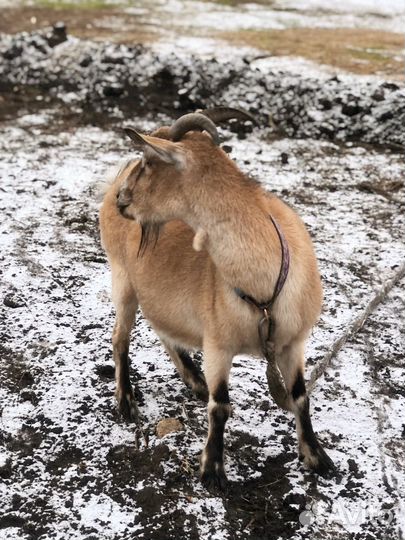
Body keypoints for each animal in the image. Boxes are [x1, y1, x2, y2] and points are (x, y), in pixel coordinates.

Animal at [98, 108, 334, 490]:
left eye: (147, 162)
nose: (122, 197)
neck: (263, 285)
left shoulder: (293, 341)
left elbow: (300, 396)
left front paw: (317, 457)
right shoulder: (218, 344)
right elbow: (220, 405)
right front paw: (212, 470)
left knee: (162, 329)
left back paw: (194, 380)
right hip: (123, 279)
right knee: (120, 337)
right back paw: (126, 401)